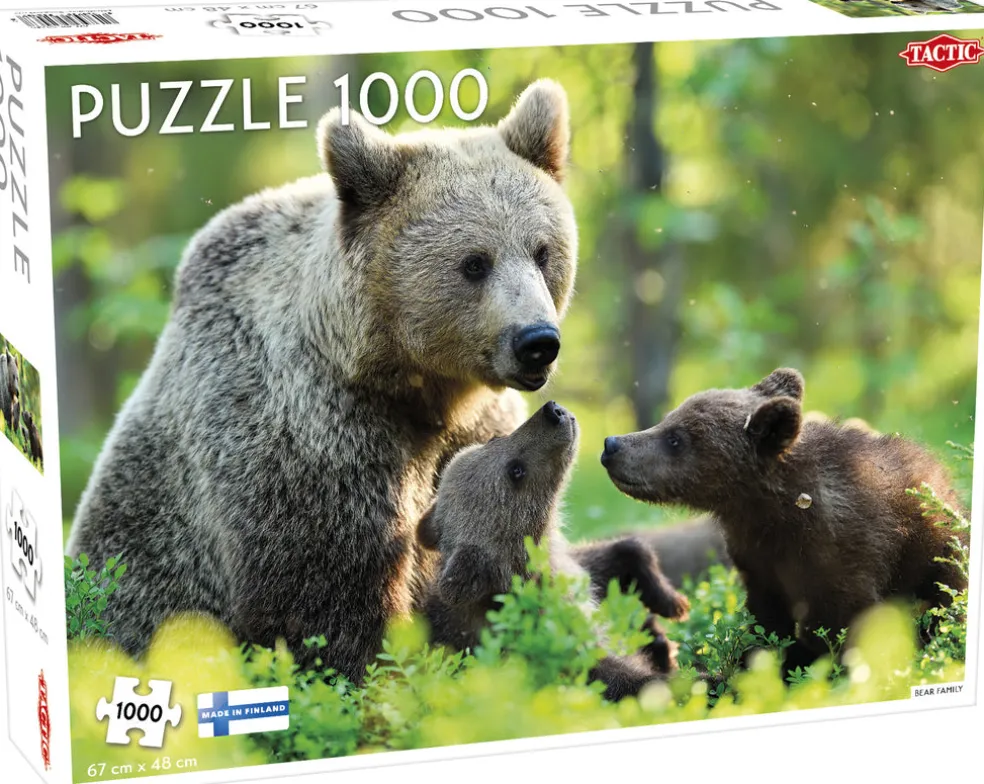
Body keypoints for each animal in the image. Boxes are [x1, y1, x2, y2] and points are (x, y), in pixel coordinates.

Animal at [65, 79, 579, 681]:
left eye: (542, 251)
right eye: (475, 262)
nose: (537, 340)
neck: (411, 384)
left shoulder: (476, 425)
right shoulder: (311, 432)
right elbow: (326, 596)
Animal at [418, 400, 689, 698]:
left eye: (494, 439)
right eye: (515, 471)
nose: (552, 411)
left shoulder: (574, 571)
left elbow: (619, 553)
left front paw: (671, 602)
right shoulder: (549, 636)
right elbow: (612, 676)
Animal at [600, 368, 969, 673]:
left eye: (676, 438)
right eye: (668, 419)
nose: (612, 444)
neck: (773, 512)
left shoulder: (844, 554)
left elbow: (840, 624)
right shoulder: (759, 562)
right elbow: (767, 624)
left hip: (935, 557)